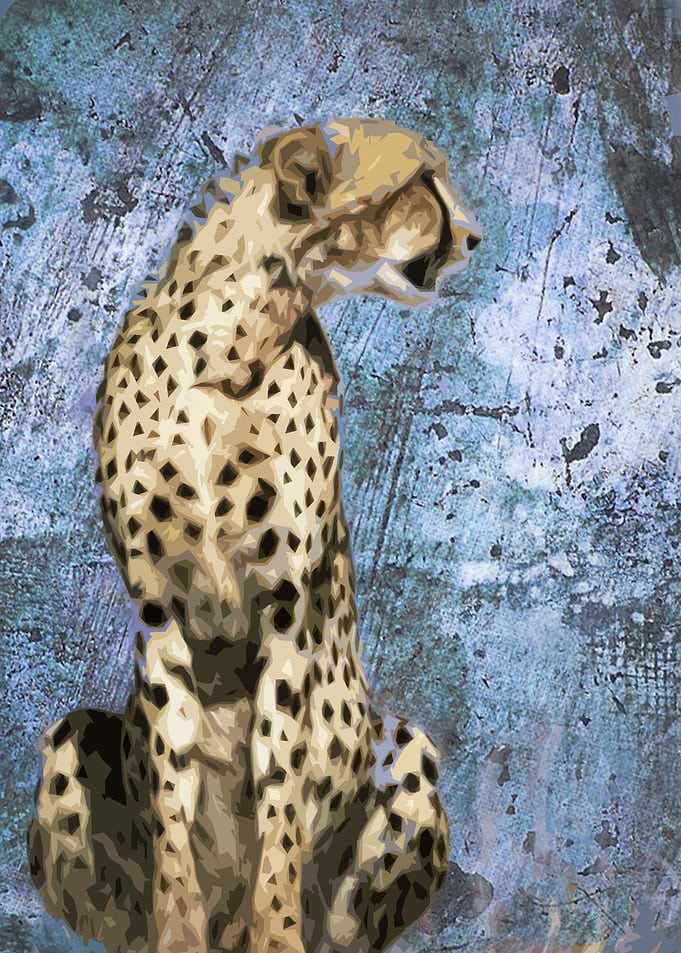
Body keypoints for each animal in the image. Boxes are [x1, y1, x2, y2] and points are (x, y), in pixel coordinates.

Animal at [27, 118, 483, 953]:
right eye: (421, 183)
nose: (472, 234)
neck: (228, 344)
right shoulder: (158, 609)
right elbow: (171, 785)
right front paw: (178, 931)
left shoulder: (285, 607)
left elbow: (278, 785)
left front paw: (276, 932)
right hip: (70, 740)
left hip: (404, 747)